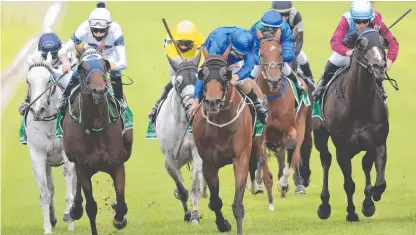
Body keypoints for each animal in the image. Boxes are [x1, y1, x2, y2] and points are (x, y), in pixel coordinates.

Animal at [61, 52, 132, 234]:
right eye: (82, 68)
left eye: (105, 65)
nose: (99, 91)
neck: (96, 125)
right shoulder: (82, 167)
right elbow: (91, 207)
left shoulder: (117, 164)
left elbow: (121, 202)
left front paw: (119, 218)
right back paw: (75, 208)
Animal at [191, 54, 264, 233]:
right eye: (203, 74)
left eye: (226, 75)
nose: (213, 102)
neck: (221, 125)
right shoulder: (209, 163)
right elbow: (215, 201)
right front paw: (223, 224)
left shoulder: (240, 158)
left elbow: (238, 204)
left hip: (256, 145)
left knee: (254, 165)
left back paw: (255, 187)